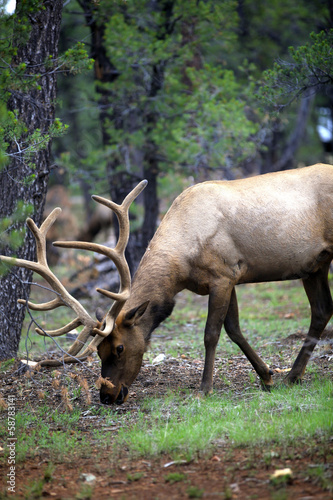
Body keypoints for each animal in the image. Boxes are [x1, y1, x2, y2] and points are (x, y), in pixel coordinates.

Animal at [1, 164, 332, 406]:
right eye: (98, 351)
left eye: (119, 348)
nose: (107, 396)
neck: (180, 268)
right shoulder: (229, 279)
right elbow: (235, 329)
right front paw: (267, 376)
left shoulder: (223, 276)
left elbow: (212, 333)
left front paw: (205, 387)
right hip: (314, 266)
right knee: (321, 311)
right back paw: (293, 376)